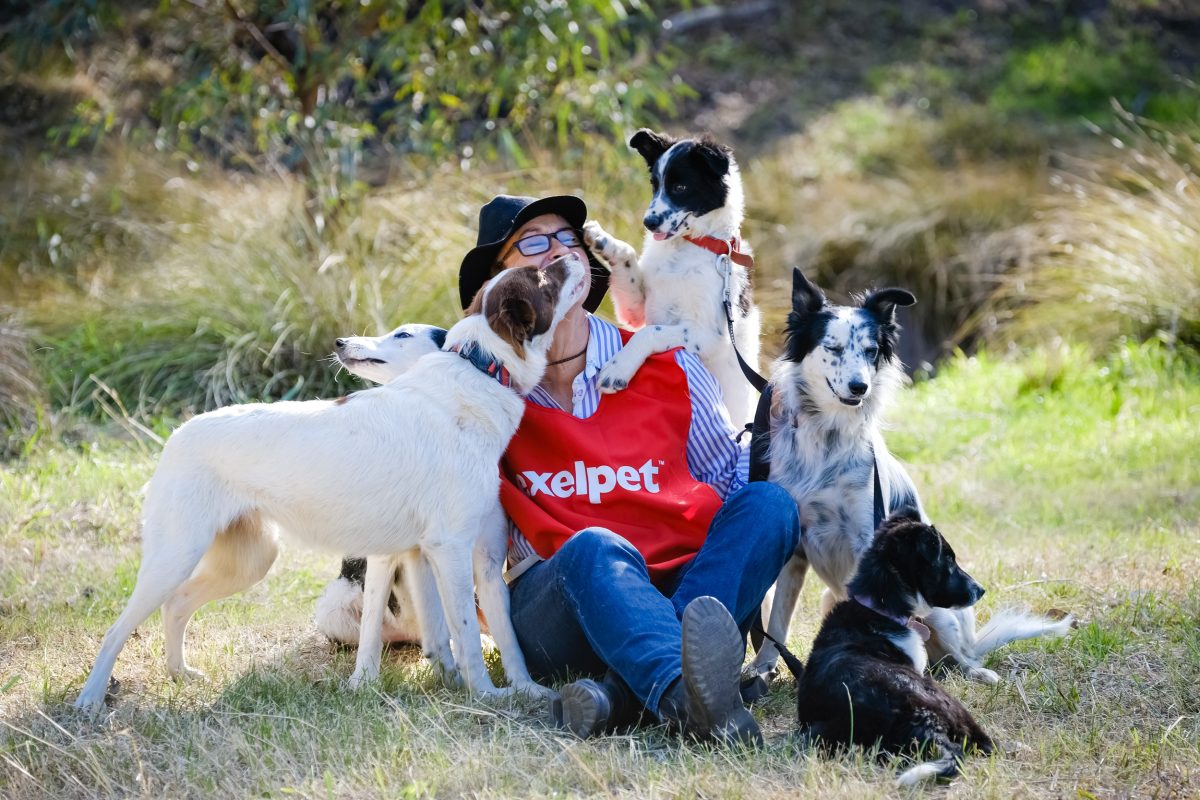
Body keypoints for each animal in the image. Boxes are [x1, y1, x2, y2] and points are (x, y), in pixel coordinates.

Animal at [72, 257, 588, 714]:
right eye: (545, 278)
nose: (578, 254)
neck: (481, 371)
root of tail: (179, 432)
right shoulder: (449, 550)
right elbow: (464, 636)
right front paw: (484, 696)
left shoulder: (482, 557)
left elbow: (506, 641)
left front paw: (525, 692)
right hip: (176, 554)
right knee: (118, 628)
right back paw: (90, 700)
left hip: (250, 558)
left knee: (177, 604)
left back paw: (180, 674)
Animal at [580, 128, 758, 429]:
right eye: (655, 185)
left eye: (681, 188)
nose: (648, 223)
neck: (688, 247)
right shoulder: (636, 312)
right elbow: (628, 258)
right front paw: (603, 239)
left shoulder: (709, 334)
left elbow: (651, 332)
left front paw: (618, 368)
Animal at [753, 271, 1075, 690]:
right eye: (833, 347)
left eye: (871, 351)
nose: (859, 387)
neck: (828, 438)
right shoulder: (796, 550)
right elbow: (777, 620)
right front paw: (761, 668)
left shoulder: (866, 539)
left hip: (942, 612)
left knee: (961, 656)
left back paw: (976, 671)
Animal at [782, 513, 988, 786]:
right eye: (949, 561)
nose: (981, 590)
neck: (877, 609)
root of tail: (918, 714)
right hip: (948, 702)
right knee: (986, 743)